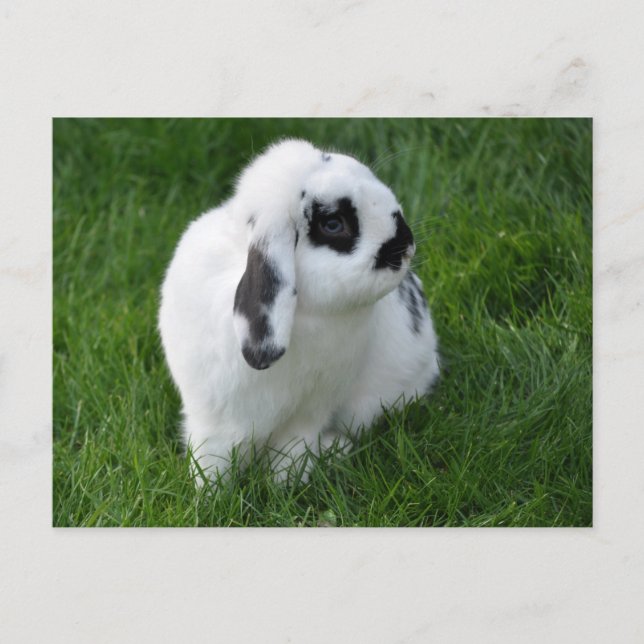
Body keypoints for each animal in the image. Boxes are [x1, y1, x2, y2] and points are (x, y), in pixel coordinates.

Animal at [158, 139, 439, 484]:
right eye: (333, 224)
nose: (405, 242)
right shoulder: (213, 420)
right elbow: (212, 463)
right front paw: (208, 495)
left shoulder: (309, 410)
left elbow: (292, 451)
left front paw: (284, 483)